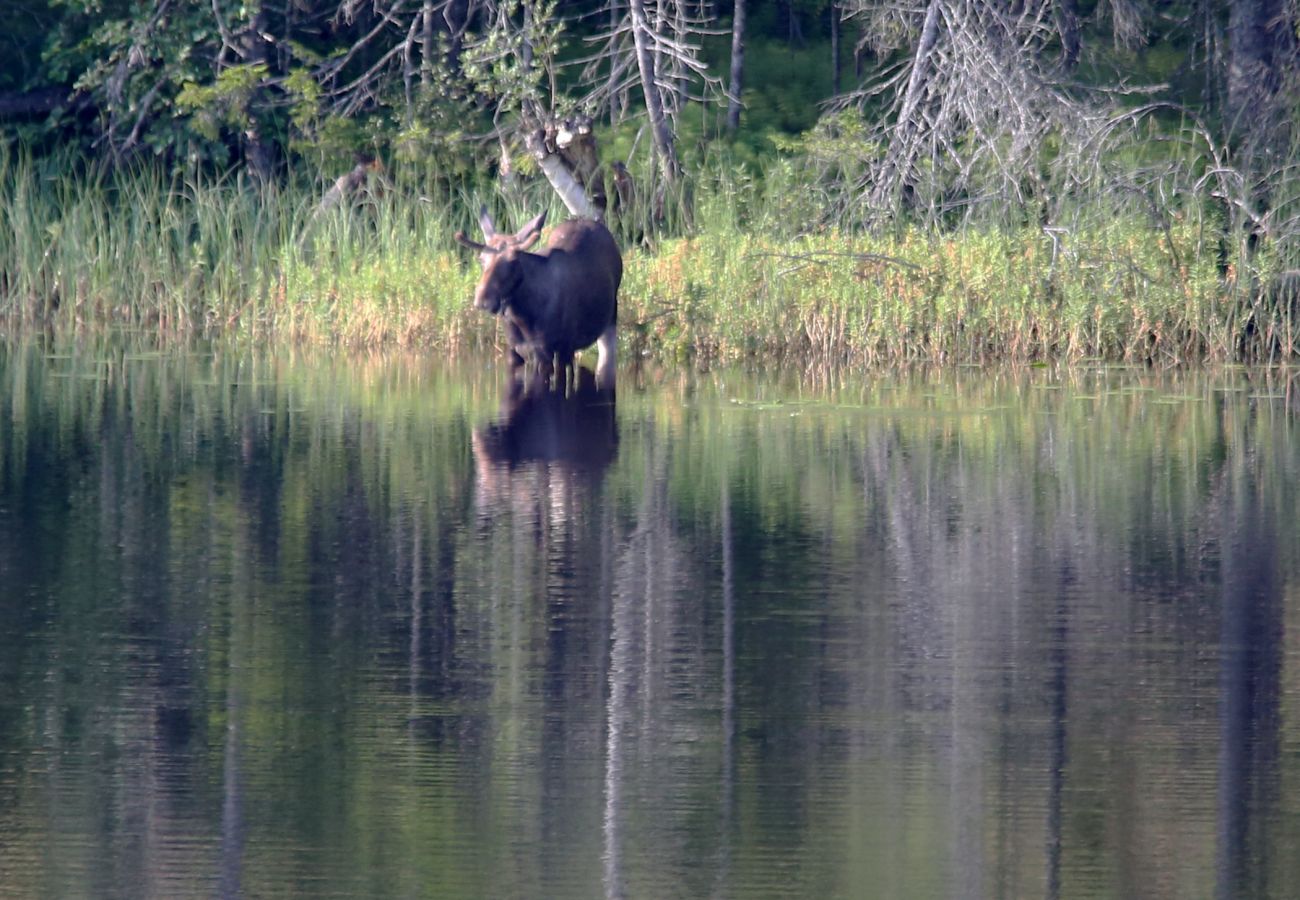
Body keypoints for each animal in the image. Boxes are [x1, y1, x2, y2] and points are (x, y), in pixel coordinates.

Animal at [454, 206, 621, 387]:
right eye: (481, 259)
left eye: (514, 260)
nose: (483, 300)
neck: (521, 315)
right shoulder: (514, 351)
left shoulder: (554, 352)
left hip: (608, 322)